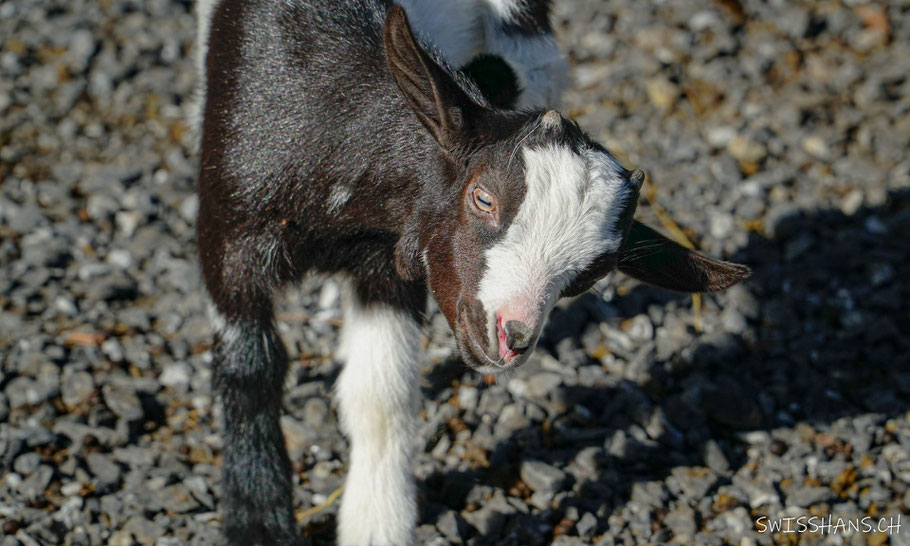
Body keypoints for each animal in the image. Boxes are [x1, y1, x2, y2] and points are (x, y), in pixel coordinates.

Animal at [196, 2, 752, 540]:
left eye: (592, 274)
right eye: (482, 197)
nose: (513, 336)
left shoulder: (388, 258)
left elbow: (382, 396)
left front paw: (376, 523)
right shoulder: (231, 234)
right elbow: (251, 369)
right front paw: (258, 519)